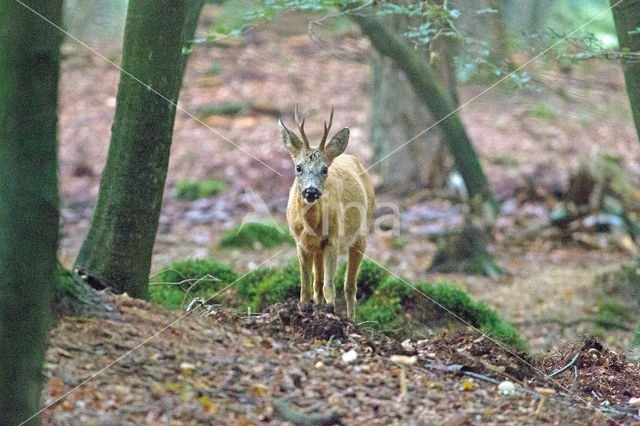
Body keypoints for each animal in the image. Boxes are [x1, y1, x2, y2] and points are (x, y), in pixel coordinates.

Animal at [280, 108, 376, 322]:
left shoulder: (333, 239)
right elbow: (306, 288)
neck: (311, 226)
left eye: (324, 169)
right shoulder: (301, 243)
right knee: (317, 283)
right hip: (317, 249)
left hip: (361, 235)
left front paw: (330, 311)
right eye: (298, 167)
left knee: (349, 287)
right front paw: (304, 310)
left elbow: (329, 286)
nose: (311, 191)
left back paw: (351, 320)